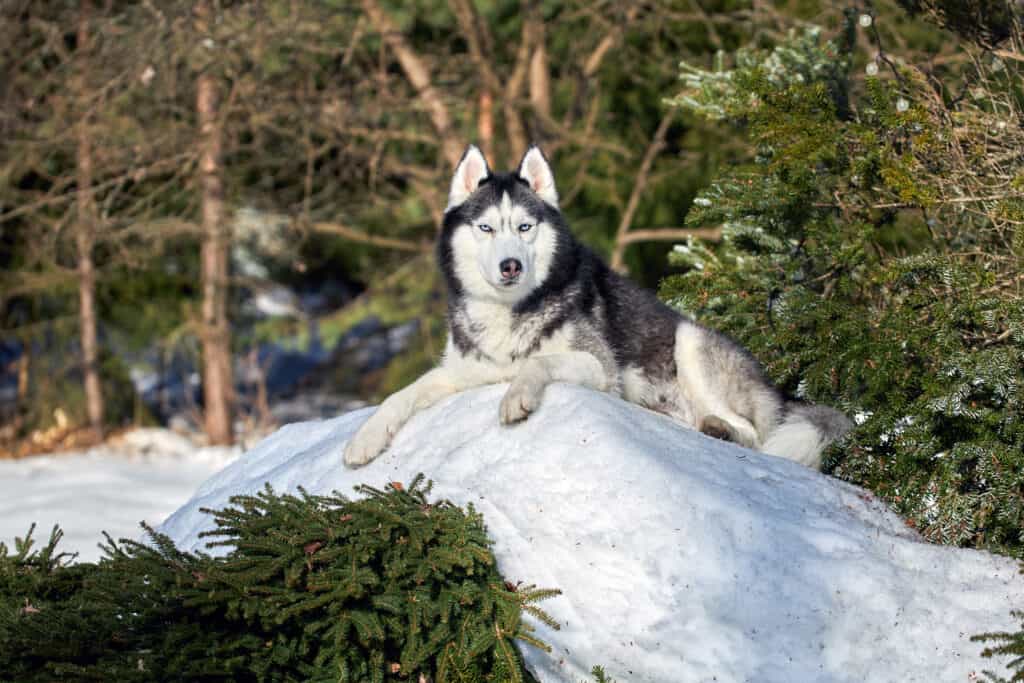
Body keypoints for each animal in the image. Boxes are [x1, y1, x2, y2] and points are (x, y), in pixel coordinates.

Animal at [339, 144, 851, 471]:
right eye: (486, 228)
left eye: (524, 227)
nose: (510, 266)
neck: (511, 313)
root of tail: (778, 391)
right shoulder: (463, 373)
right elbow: (400, 395)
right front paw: (364, 439)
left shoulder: (599, 367)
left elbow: (538, 363)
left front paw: (517, 397)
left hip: (691, 343)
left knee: (753, 433)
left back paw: (720, 430)